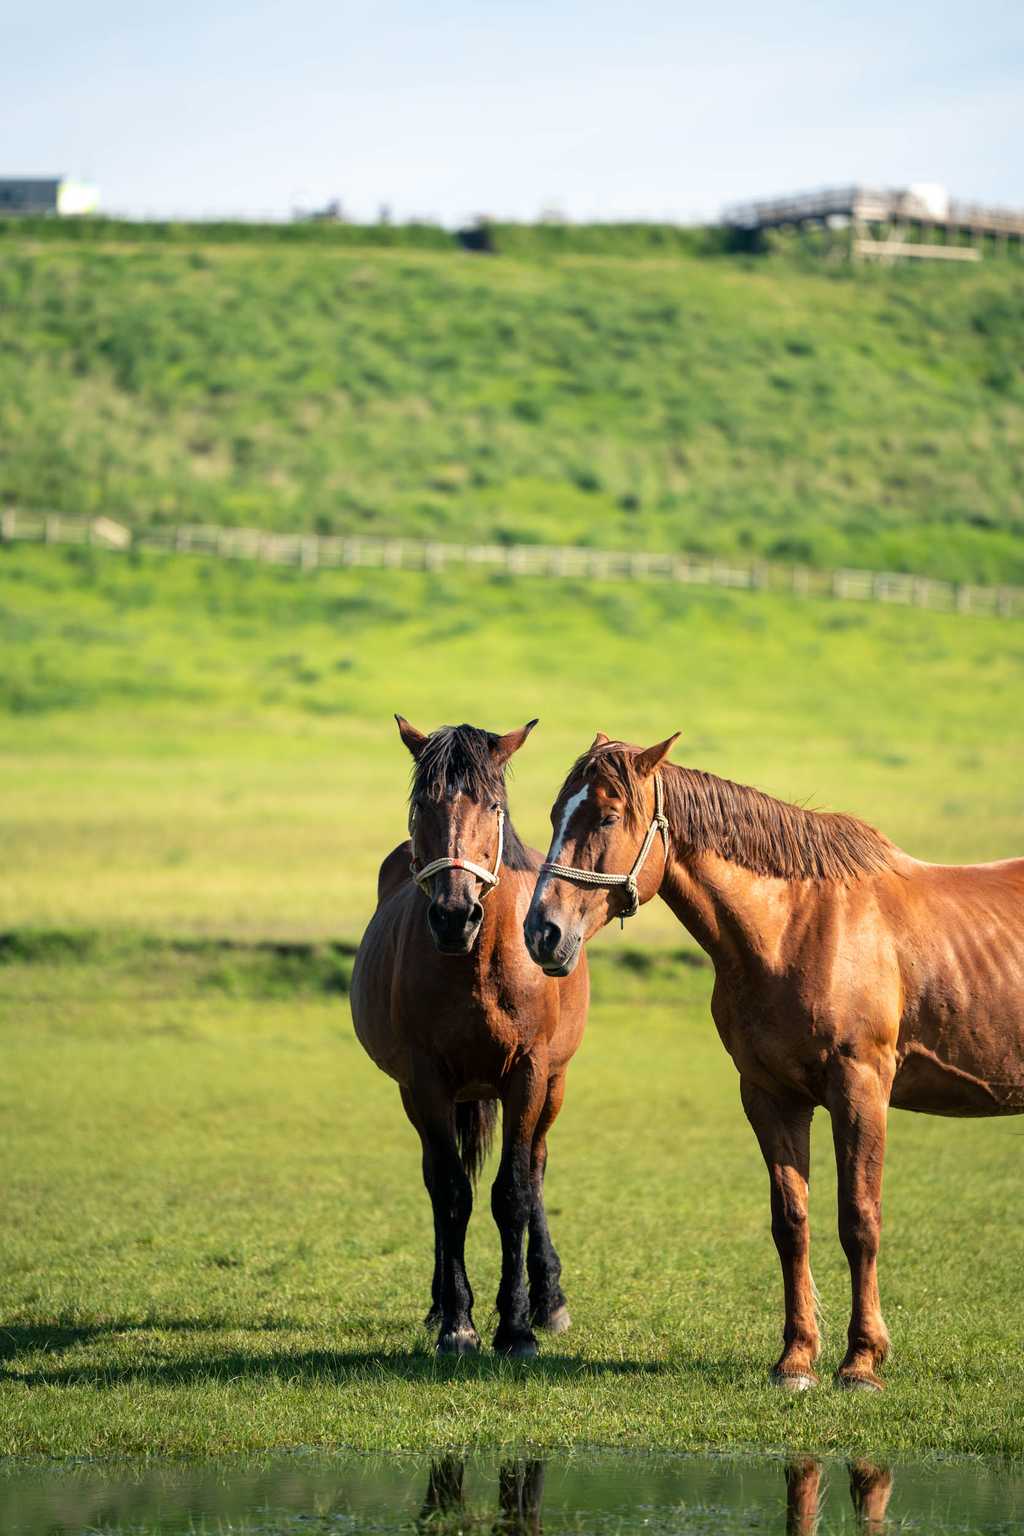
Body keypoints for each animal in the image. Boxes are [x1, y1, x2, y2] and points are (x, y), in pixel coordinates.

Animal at [350, 717, 590, 1356]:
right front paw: (458, 1324)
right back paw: (440, 1303)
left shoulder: (529, 1073)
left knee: (535, 1169)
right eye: (421, 804)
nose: (454, 915)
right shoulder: (426, 1080)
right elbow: (452, 1191)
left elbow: (514, 1193)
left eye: (492, 804)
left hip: (555, 1084)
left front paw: (517, 1327)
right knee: (438, 1175)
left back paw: (548, 1299)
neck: (479, 963)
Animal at [523, 732, 1024, 1390]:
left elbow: (859, 1220)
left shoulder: (860, 1088)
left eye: (606, 817)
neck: (796, 928)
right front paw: (797, 1359)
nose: (542, 933)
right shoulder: (770, 1096)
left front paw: (861, 1361)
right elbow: (791, 1223)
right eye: (557, 813)